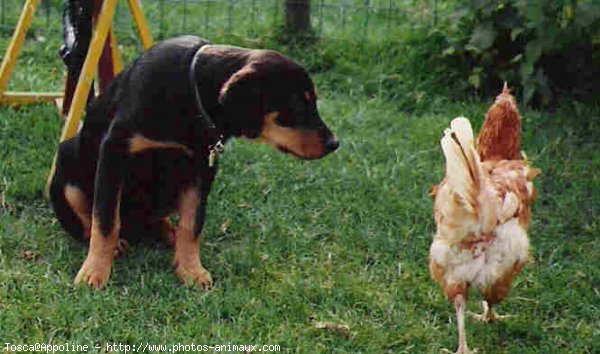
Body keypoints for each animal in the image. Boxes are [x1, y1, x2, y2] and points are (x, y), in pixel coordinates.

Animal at [49, 36, 340, 290]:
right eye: (298, 105)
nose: (334, 143)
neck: (190, 95)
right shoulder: (113, 153)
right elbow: (106, 220)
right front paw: (95, 272)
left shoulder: (202, 168)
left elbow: (192, 223)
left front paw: (190, 270)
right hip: (67, 164)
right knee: (87, 220)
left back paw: (168, 233)